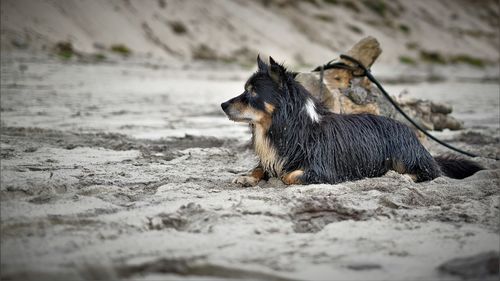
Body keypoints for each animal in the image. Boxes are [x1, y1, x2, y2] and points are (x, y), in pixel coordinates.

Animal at [220, 55, 484, 185]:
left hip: (403, 153)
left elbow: (288, 175)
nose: (222, 105)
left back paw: (403, 176)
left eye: (252, 93)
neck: (286, 126)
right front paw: (247, 176)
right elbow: (260, 168)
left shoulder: (322, 169)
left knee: (430, 172)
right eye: (245, 89)